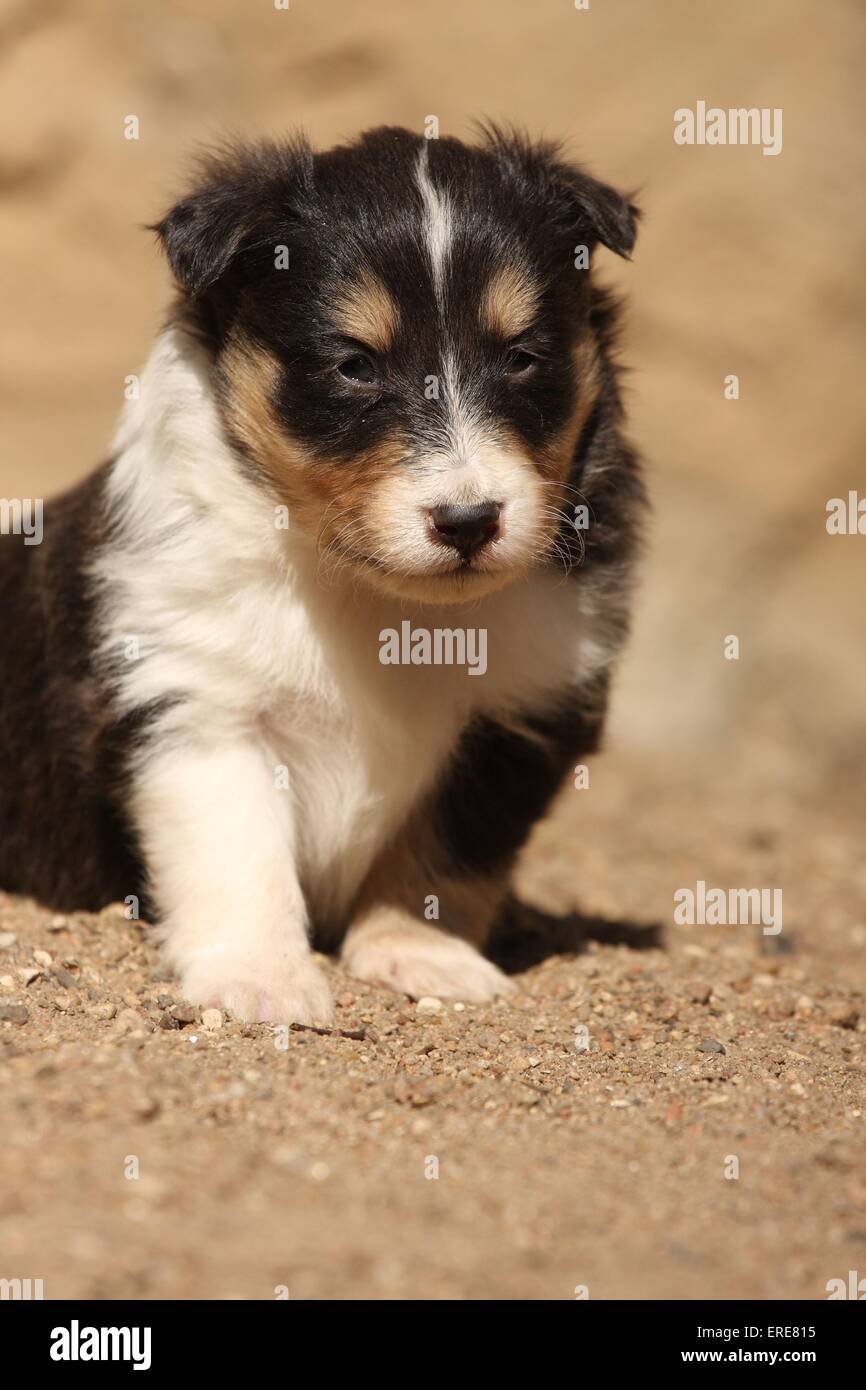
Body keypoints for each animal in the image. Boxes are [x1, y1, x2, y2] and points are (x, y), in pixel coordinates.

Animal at [0, 127, 644, 1023]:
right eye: (354, 365)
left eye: (522, 357)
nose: (469, 521)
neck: (373, 597)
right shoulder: (195, 701)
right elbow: (239, 849)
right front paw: (261, 981)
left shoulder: (522, 712)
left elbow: (450, 850)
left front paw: (420, 956)